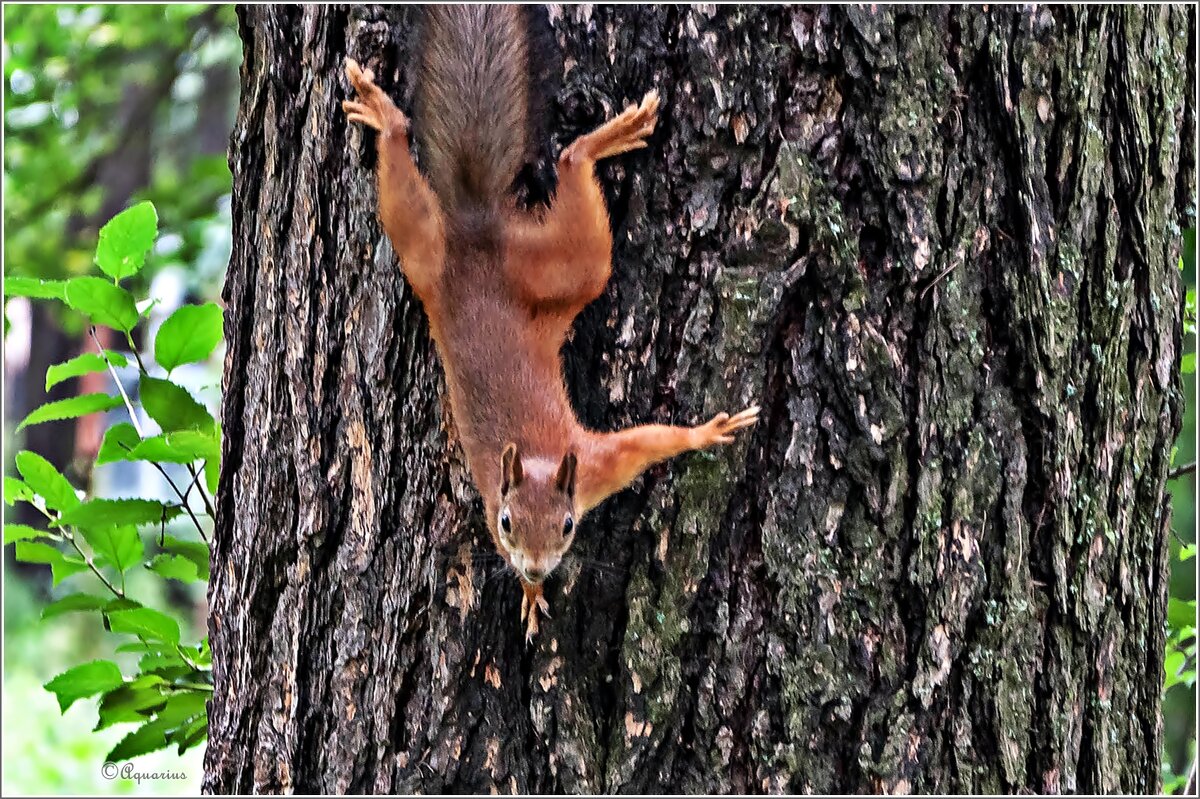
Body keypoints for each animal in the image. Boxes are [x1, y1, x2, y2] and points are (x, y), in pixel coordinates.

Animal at [345, 4, 758, 633]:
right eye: (507, 522)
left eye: (566, 526)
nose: (537, 568)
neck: (539, 465)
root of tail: (476, 237)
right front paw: (530, 592)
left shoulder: (596, 467)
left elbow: (652, 441)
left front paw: (708, 430)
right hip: (438, 258)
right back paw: (384, 113)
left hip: (534, 265)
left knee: (567, 166)